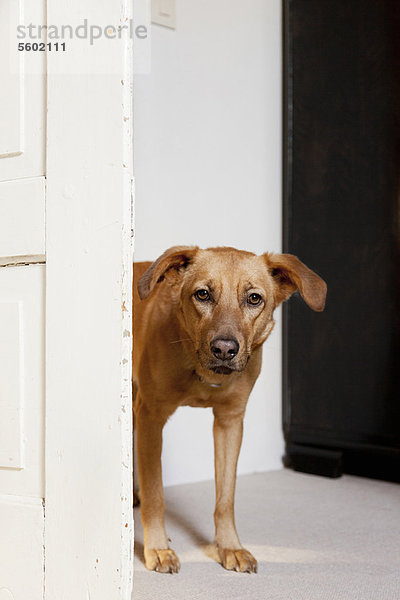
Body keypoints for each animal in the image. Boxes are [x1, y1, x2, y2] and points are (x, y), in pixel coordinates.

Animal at [133, 246, 326, 576]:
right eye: (202, 294)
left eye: (254, 299)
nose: (224, 349)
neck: (200, 368)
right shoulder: (152, 418)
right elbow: (156, 494)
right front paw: (157, 547)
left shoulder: (230, 422)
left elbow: (226, 497)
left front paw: (229, 547)